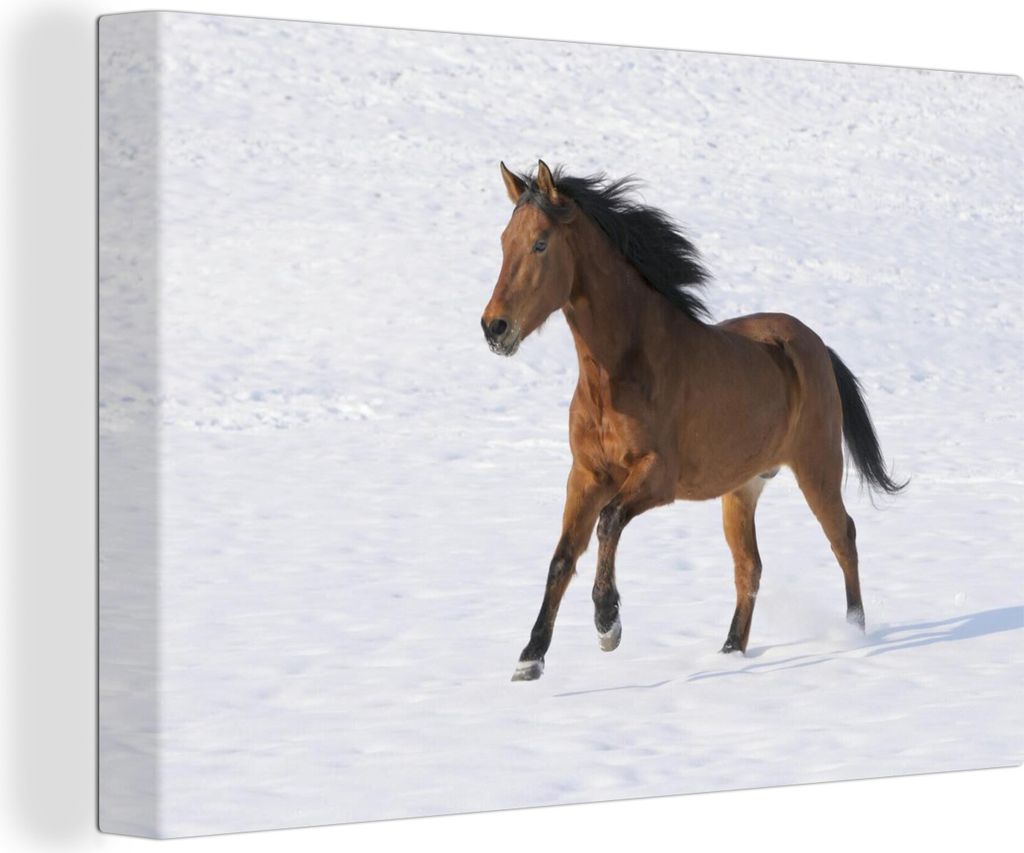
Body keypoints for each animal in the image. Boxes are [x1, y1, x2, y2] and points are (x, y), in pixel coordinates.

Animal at [481, 160, 905, 682]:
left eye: (540, 243)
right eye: (504, 241)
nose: (494, 328)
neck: (618, 373)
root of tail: (816, 345)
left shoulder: (656, 476)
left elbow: (608, 523)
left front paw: (607, 624)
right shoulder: (586, 475)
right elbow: (562, 557)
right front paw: (530, 658)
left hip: (817, 468)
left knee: (843, 537)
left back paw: (854, 634)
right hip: (742, 489)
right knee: (750, 566)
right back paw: (730, 650)